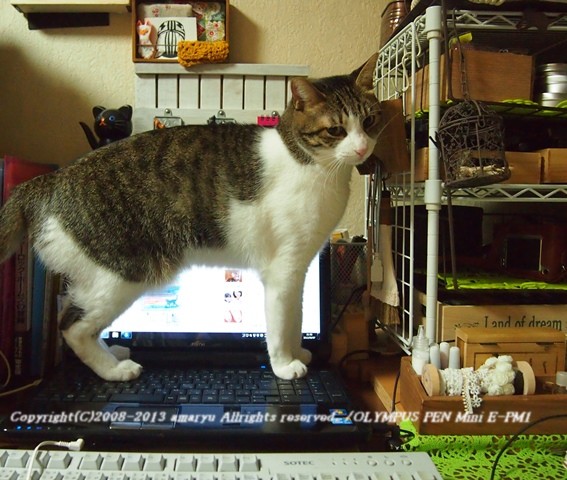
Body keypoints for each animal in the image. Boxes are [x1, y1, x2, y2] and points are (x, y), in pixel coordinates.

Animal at [0, 55, 381, 382]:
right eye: (335, 130)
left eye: (369, 121)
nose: (362, 148)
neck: (311, 163)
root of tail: (49, 181)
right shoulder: (282, 269)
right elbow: (279, 322)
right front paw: (285, 364)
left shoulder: (300, 266)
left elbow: (298, 316)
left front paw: (299, 351)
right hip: (123, 273)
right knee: (72, 326)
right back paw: (114, 369)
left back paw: (115, 351)